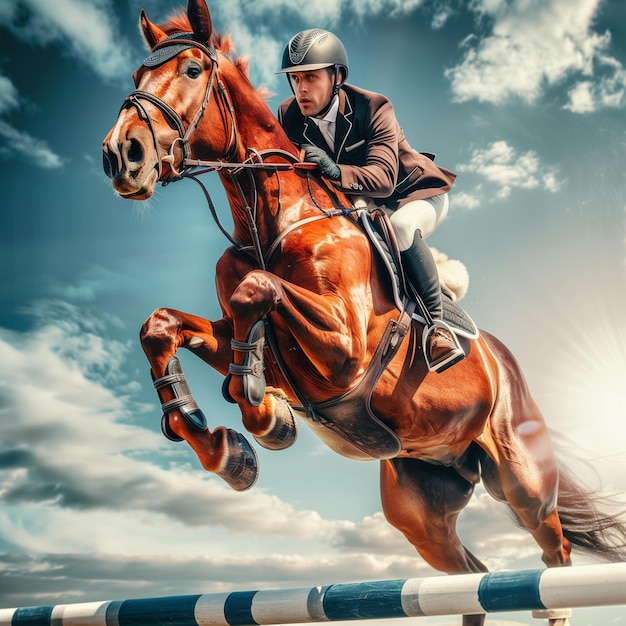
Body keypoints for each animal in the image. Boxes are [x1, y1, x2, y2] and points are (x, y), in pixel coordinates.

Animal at [102, 2, 624, 620]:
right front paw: (229, 448)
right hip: (420, 509)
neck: (274, 218)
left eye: (189, 70)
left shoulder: (345, 348)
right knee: (470, 578)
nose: (120, 155)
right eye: (137, 74)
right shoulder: (248, 336)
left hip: (523, 481)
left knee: (553, 553)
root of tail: (508, 368)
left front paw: (265, 416)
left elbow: (257, 292)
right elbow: (165, 325)